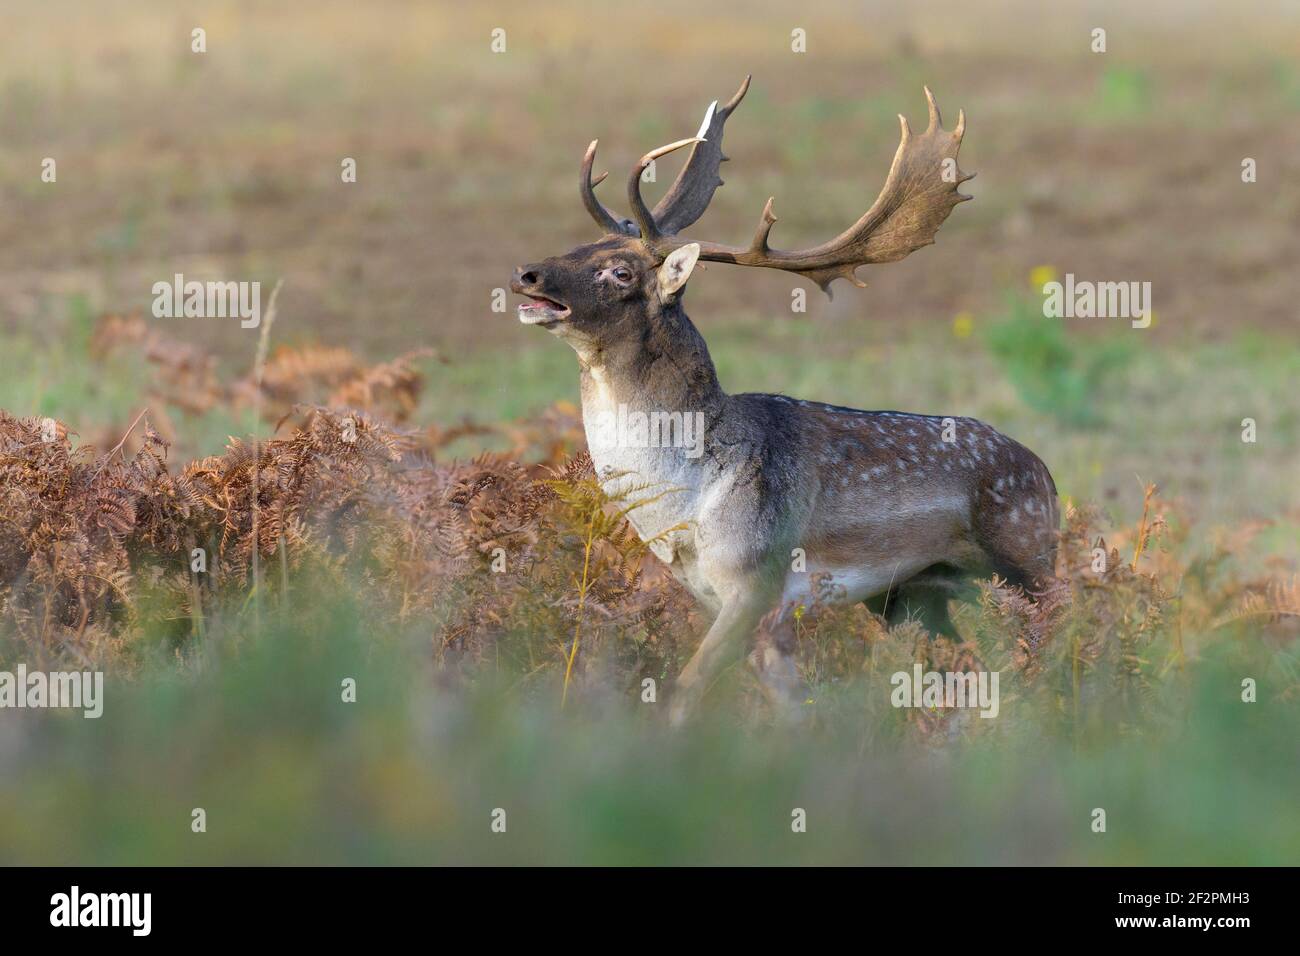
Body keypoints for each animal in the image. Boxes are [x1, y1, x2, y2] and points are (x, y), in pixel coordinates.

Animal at [509, 77, 1059, 724]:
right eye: (579, 243)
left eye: (620, 271)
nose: (527, 273)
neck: (683, 508)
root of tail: (1048, 475)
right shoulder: (722, 599)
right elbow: (790, 706)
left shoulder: (757, 577)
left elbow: (684, 692)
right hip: (914, 595)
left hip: (1028, 559)